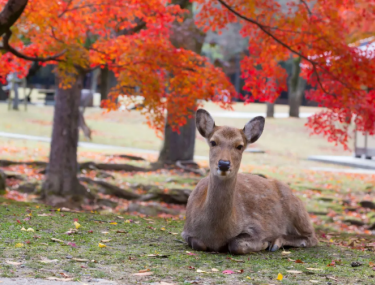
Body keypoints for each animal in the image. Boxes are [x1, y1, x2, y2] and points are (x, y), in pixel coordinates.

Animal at [184, 108, 318, 253]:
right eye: (213, 142)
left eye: (239, 146)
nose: (224, 164)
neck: (216, 235)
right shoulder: (186, 231)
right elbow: (198, 244)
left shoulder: (258, 227)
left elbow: (236, 244)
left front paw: (264, 243)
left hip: (298, 210)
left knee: (312, 237)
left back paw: (275, 243)